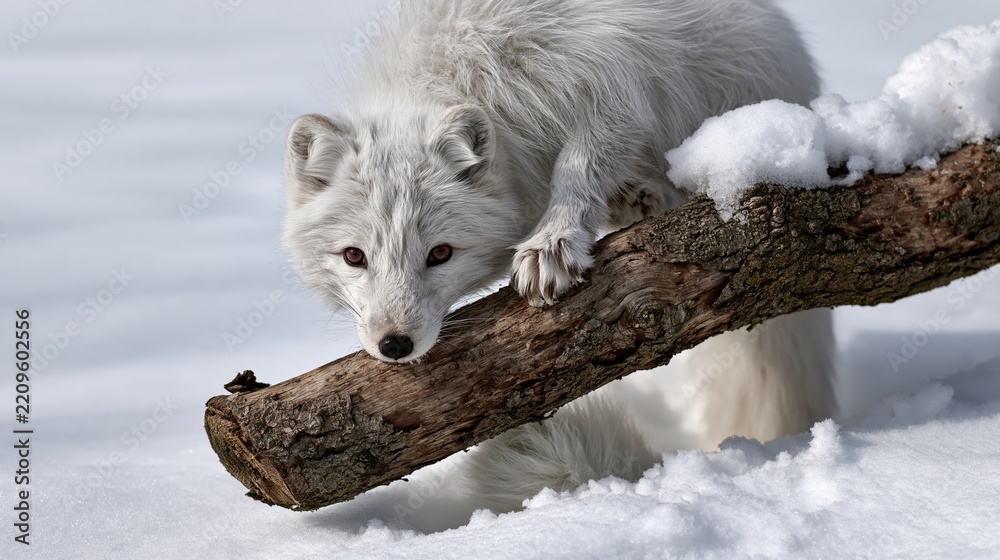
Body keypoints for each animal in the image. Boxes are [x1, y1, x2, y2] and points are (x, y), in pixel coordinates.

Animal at [283, 0, 836, 513]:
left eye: (440, 253)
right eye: (354, 257)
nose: (394, 345)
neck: (470, 65)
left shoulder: (613, 75)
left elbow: (579, 161)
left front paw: (553, 243)